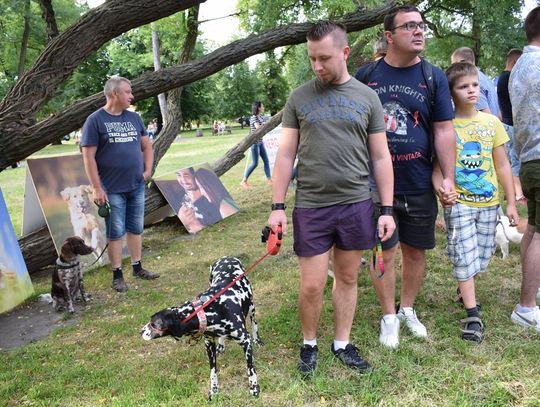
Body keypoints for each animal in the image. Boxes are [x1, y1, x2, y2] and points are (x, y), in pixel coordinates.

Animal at [141, 256, 264, 400]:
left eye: (153, 324)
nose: (141, 331)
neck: (210, 310)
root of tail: (227, 257)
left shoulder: (245, 341)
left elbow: (251, 369)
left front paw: (254, 388)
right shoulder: (208, 344)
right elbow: (213, 371)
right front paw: (214, 390)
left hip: (251, 308)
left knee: (254, 323)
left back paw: (258, 340)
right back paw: (221, 345)